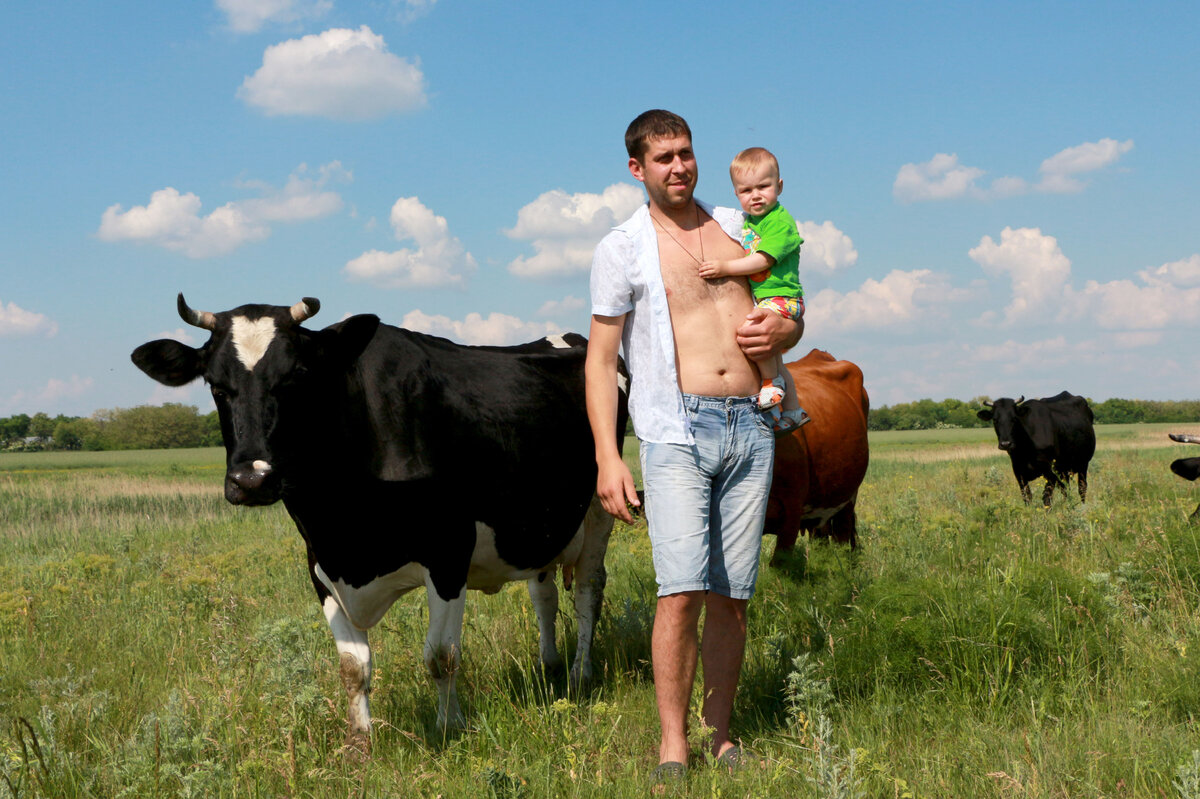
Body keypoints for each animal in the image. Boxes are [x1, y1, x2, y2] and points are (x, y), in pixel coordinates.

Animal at [131, 295, 628, 743]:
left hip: (601, 507)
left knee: (588, 591)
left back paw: (580, 673)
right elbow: (353, 667)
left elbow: (441, 656)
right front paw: (360, 741)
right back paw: (549, 667)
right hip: (539, 527)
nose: (251, 480)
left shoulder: (449, 553)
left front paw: (450, 728)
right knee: (543, 593)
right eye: (215, 385)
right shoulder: (320, 565)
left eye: (296, 377)